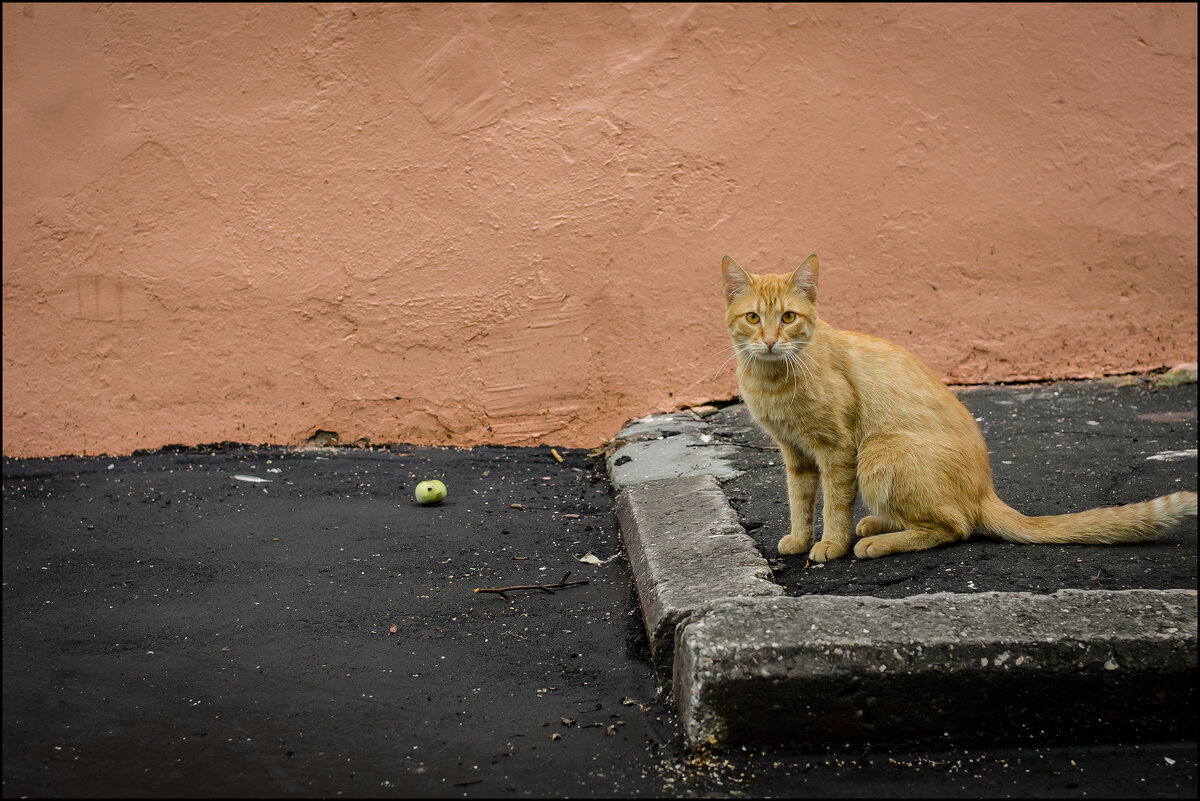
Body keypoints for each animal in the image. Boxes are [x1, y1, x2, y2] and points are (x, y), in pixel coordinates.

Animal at [720, 253, 1200, 561]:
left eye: (788, 318)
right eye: (752, 318)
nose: (769, 341)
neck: (773, 377)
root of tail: (986, 490)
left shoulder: (836, 450)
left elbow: (834, 506)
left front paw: (830, 546)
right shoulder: (796, 454)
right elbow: (800, 502)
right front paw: (800, 539)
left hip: (878, 452)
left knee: (955, 527)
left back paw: (877, 541)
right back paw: (878, 525)